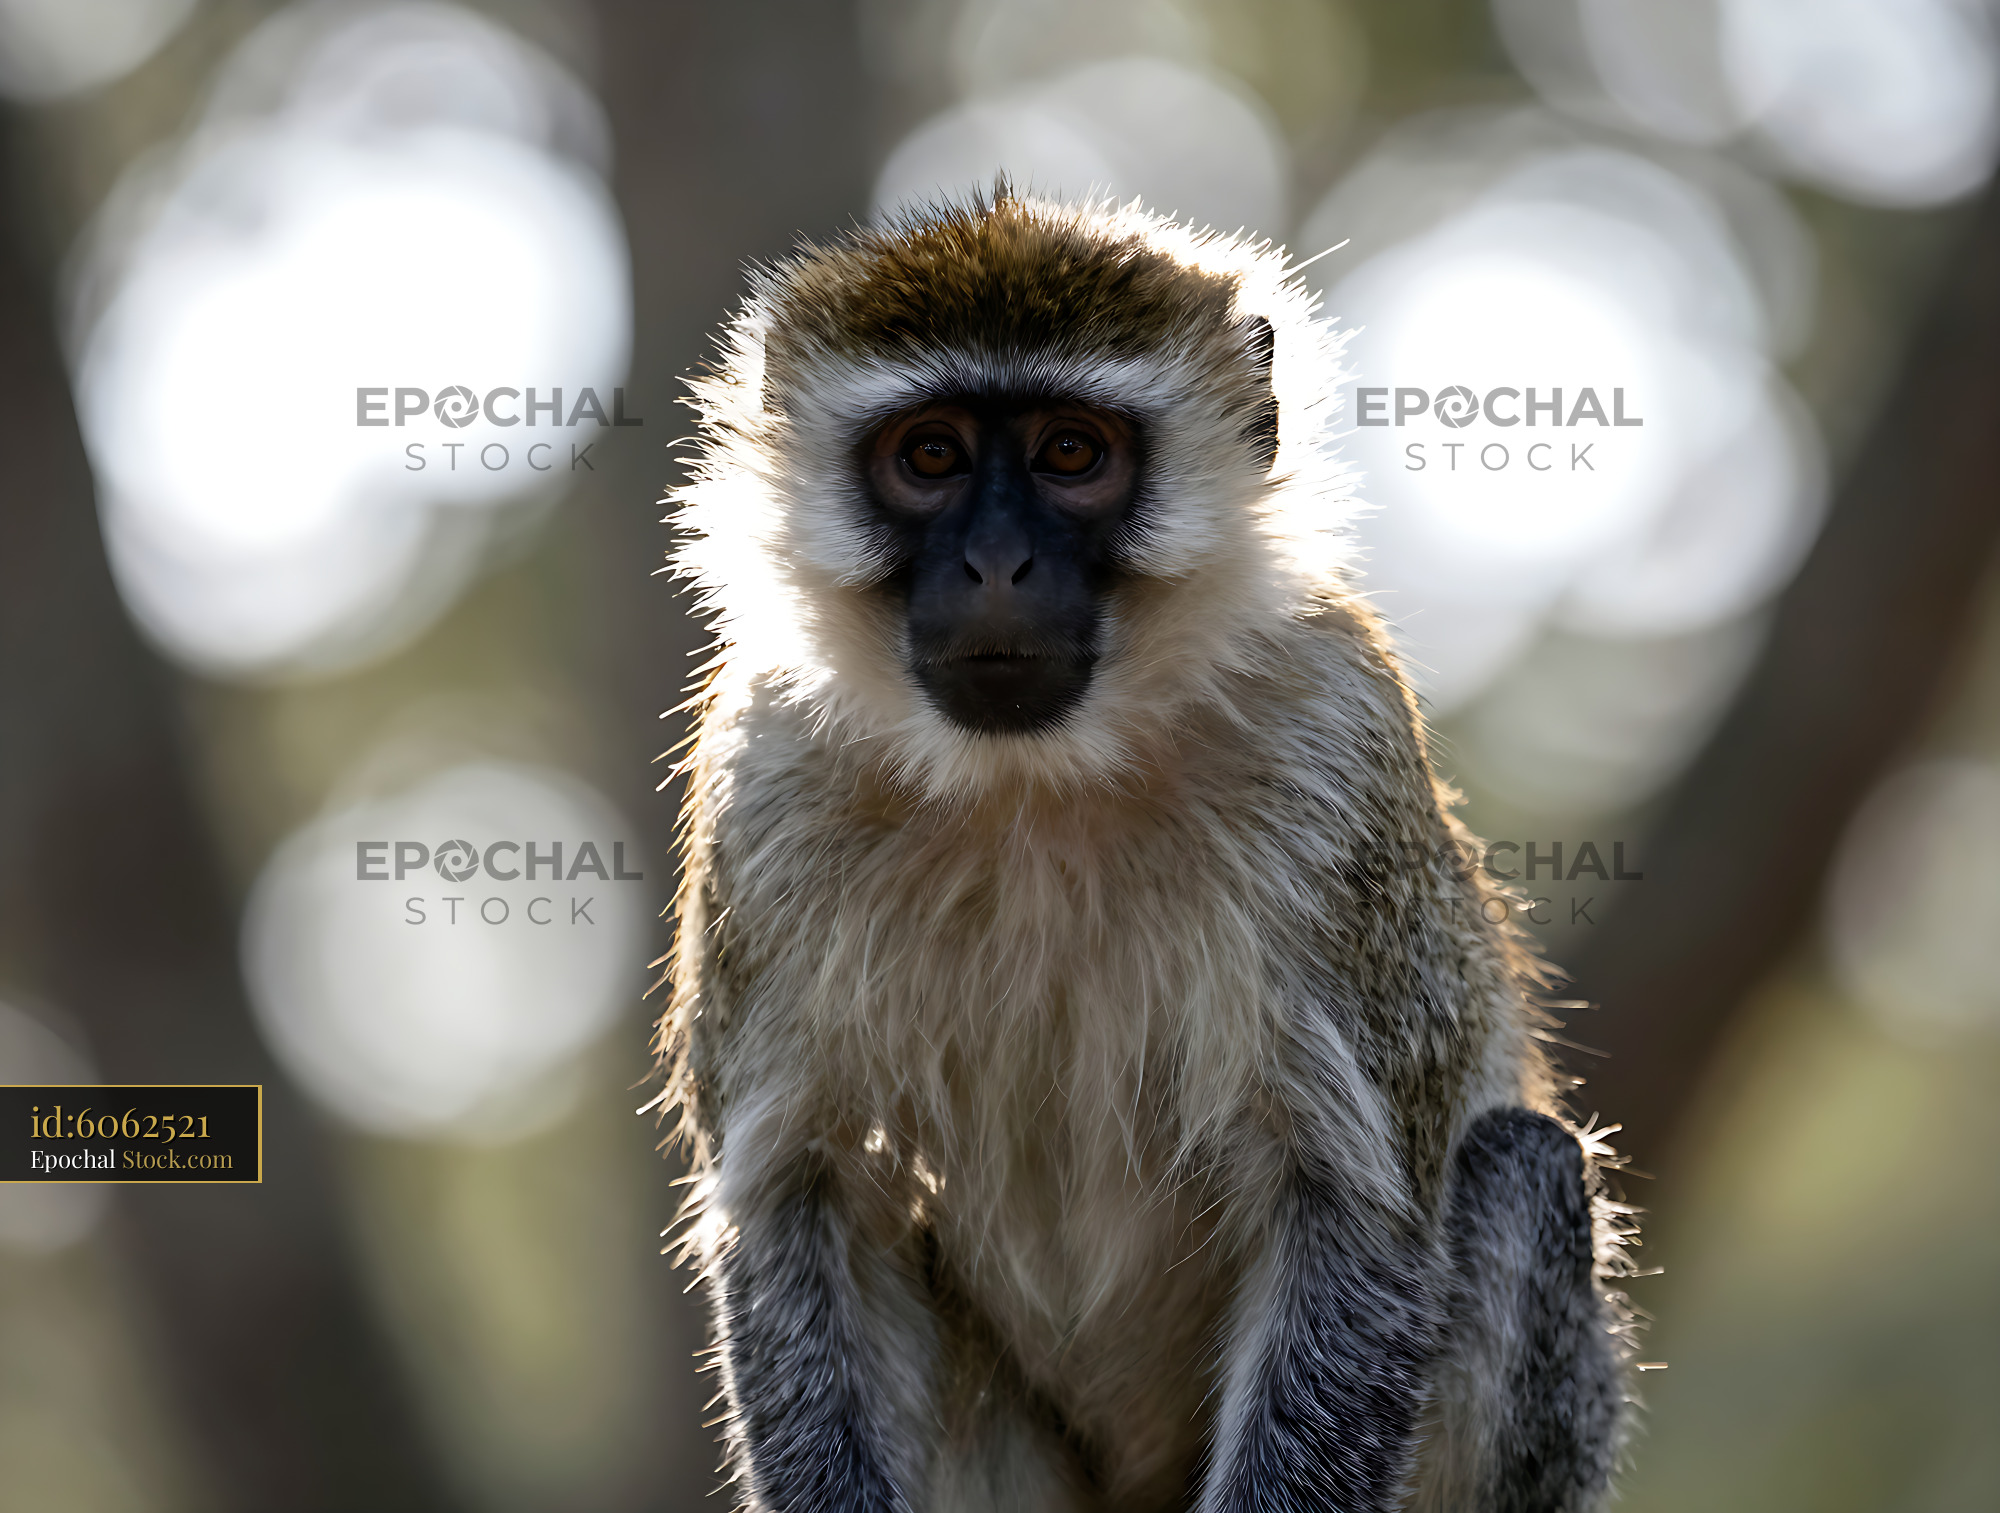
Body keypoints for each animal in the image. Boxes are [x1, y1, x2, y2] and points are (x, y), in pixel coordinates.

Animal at [654, 188, 1634, 1513]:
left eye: (1071, 454)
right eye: (929, 457)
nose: (997, 563)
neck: (1033, 783)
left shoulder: (1332, 732)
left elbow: (1360, 1215)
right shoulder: (762, 773)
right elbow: (800, 1204)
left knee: (1518, 1166)